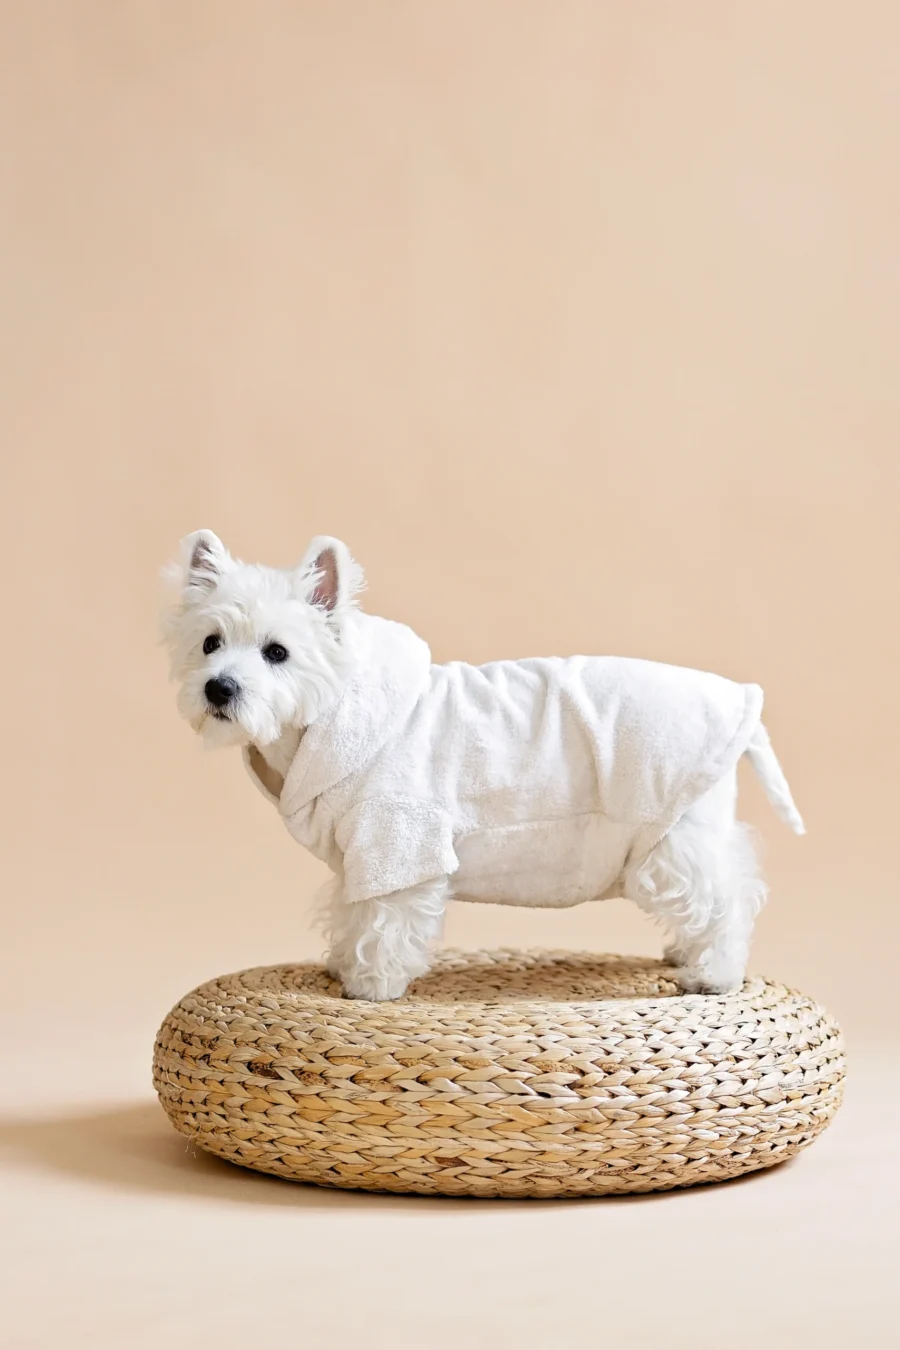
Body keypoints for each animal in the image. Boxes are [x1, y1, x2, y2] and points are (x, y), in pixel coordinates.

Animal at [161, 531, 804, 999]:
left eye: (277, 652)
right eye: (210, 643)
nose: (219, 688)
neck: (326, 717)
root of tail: (741, 702)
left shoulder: (398, 839)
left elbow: (384, 922)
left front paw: (371, 986)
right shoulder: (360, 854)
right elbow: (350, 911)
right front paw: (342, 965)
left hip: (672, 835)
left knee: (725, 897)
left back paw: (712, 973)